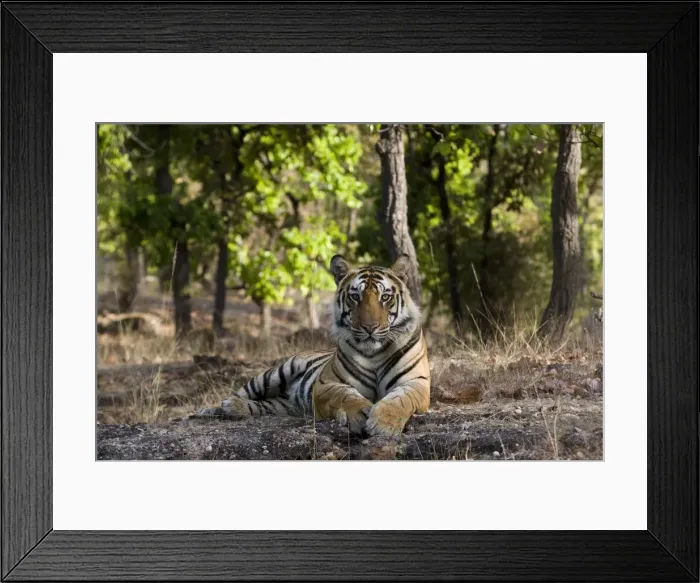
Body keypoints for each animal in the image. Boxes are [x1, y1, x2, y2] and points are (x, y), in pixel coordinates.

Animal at [194, 253, 430, 437]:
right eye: (355, 297)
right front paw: (360, 414)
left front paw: (384, 424)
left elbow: (399, 400)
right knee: (240, 393)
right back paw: (217, 408)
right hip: (274, 374)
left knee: (264, 404)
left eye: (385, 297)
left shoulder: (416, 382)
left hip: (284, 404)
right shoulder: (327, 383)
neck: (375, 353)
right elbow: (345, 395)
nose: (369, 327)